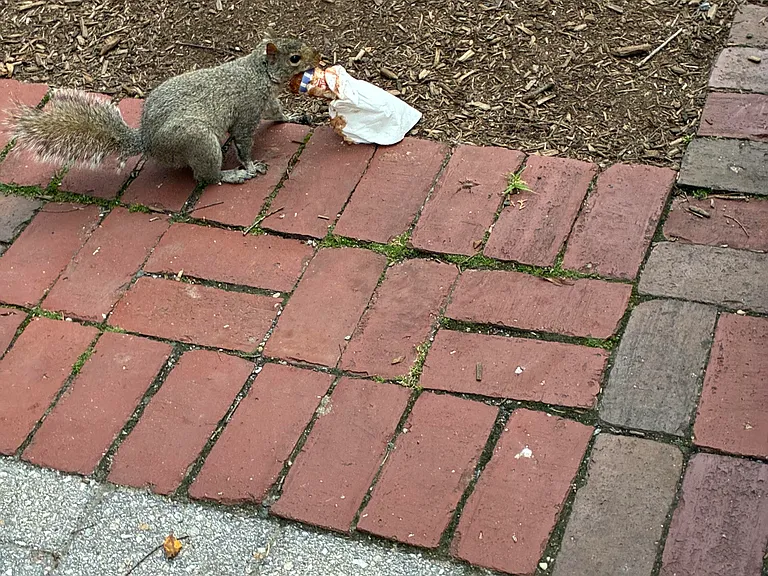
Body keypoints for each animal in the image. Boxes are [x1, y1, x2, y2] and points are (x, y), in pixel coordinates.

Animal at [8, 37, 321, 185]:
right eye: (295, 58)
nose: (319, 57)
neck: (257, 71)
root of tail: (147, 142)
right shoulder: (248, 108)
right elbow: (243, 141)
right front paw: (251, 165)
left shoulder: (266, 101)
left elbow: (277, 114)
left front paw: (296, 117)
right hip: (198, 140)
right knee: (206, 177)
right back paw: (232, 175)